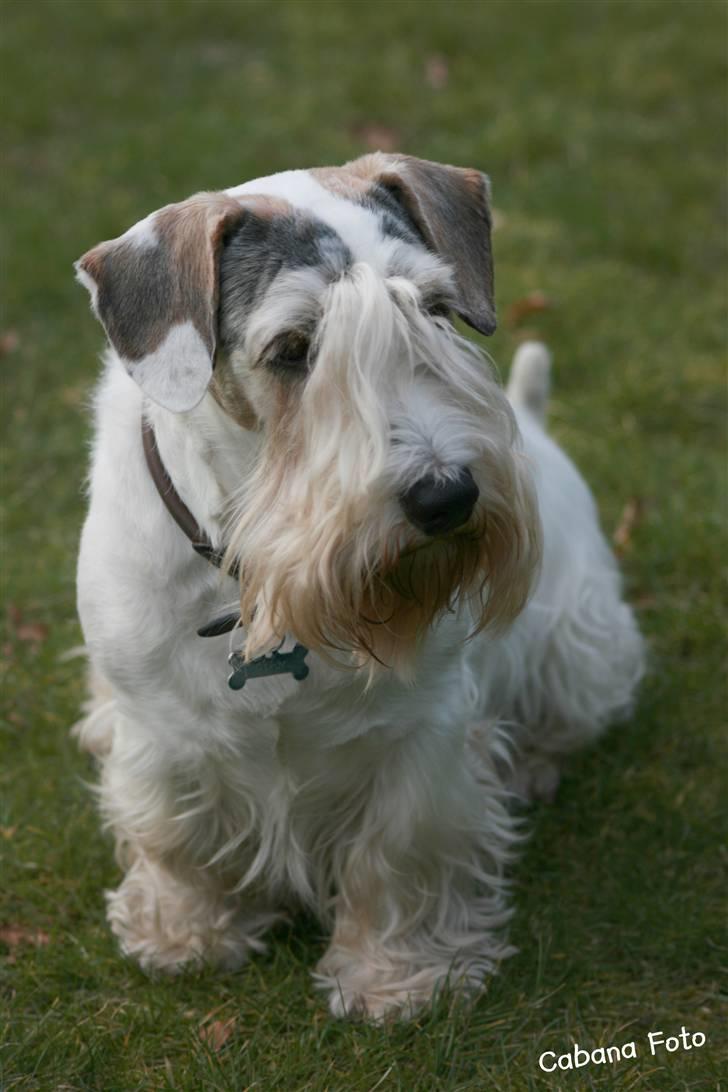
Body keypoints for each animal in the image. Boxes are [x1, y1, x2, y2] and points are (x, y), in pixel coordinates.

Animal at [74, 153, 641, 1022]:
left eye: (436, 309)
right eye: (293, 347)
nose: (446, 497)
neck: (261, 577)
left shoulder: (421, 735)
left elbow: (396, 856)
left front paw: (397, 979)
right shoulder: (157, 726)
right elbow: (173, 836)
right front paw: (186, 933)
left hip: (580, 648)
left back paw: (530, 766)